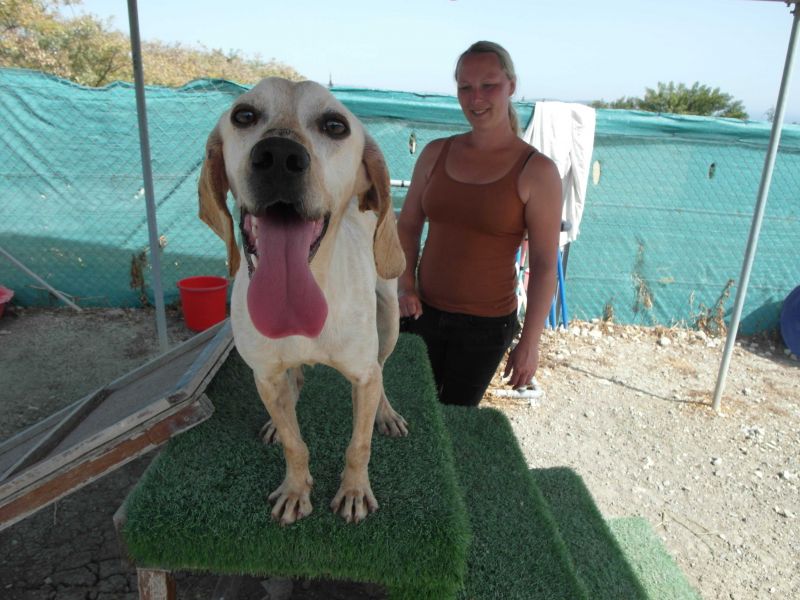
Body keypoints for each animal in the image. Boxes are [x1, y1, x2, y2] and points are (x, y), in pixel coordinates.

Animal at [198, 77, 408, 525]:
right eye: (244, 115)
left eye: (335, 126)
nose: (278, 156)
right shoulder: (265, 375)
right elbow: (296, 444)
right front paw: (296, 489)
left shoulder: (362, 376)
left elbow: (358, 445)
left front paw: (354, 491)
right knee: (292, 385)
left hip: (391, 321)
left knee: (383, 368)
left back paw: (385, 413)